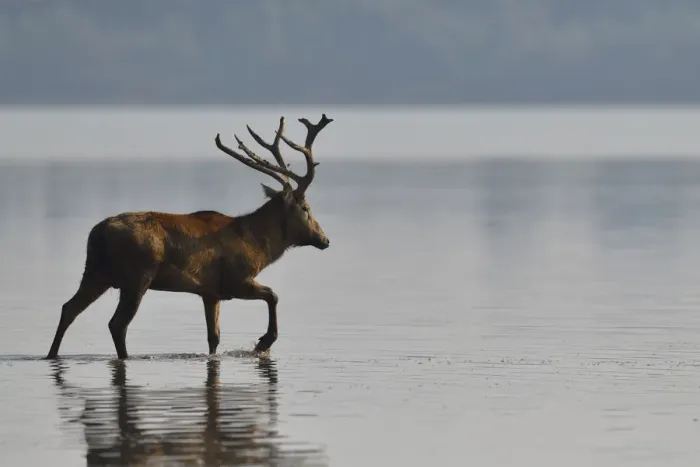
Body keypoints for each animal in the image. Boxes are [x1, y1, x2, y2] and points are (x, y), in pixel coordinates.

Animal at [46, 114, 333, 360]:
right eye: (306, 208)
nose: (325, 239)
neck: (258, 246)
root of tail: (98, 233)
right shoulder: (234, 280)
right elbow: (273, 295)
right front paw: (264, 342)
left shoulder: (210, 292)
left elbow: (213, 336)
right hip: (137, 275)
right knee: (117, 323)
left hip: (96, 270)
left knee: (68, 308)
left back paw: (51, 354)